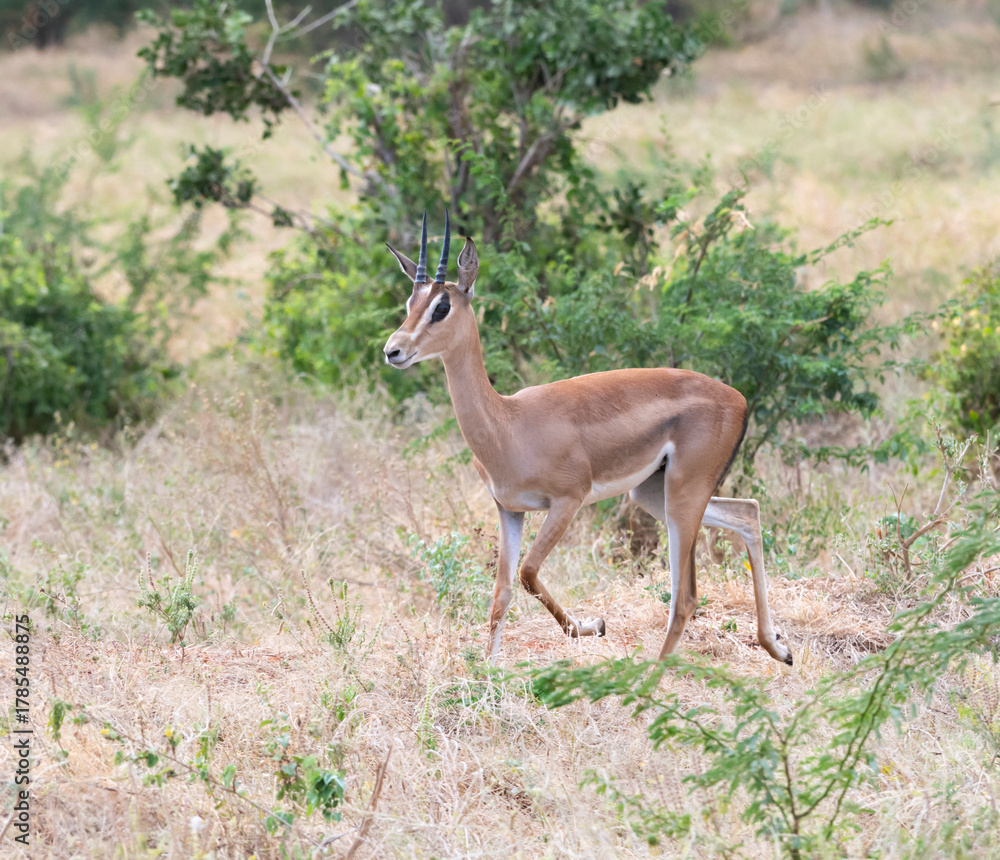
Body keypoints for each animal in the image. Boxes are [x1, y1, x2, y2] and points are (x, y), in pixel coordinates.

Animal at [383, 212, 793, 666]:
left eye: (442, 306)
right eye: (410, 303)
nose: (393, 350)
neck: (508, 424)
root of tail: (738, 399)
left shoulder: (568, 500)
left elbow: (528, 573)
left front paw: (591, 626)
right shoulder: (509, 510)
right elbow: (501, 593)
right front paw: (488, 668)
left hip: (682, 496)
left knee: (685, 597)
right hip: (654, 494)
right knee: (748, 513)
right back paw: (779, 648)